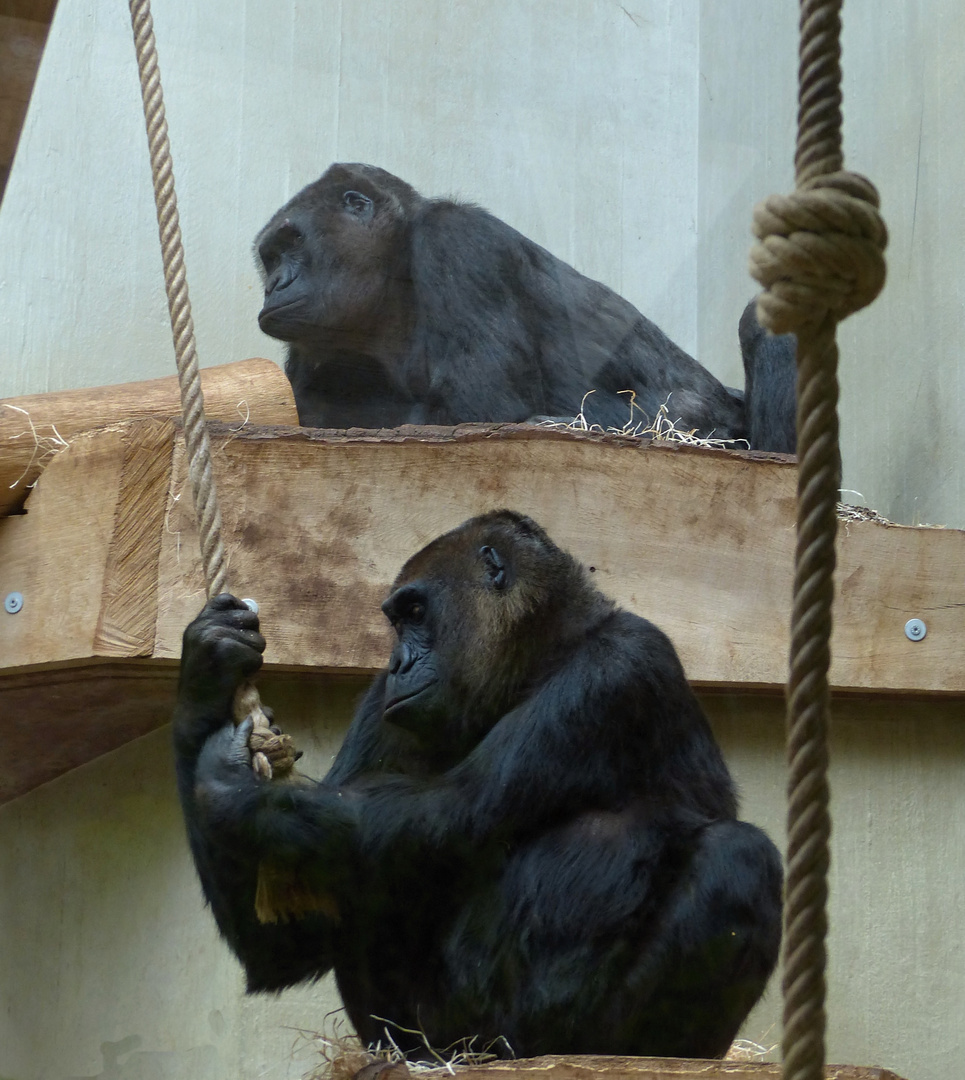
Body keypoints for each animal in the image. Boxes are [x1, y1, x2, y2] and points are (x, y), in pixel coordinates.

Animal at [173, 509, 785, 1058]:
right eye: (397, 622)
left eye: (417, 612)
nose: (395, 664)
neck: (546, 648)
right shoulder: (382, 706)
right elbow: (290, 940)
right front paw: (206, 673)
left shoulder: (622, 668)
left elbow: (453, 813)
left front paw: (235, 794)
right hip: (437, 1041)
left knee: (740, 856)